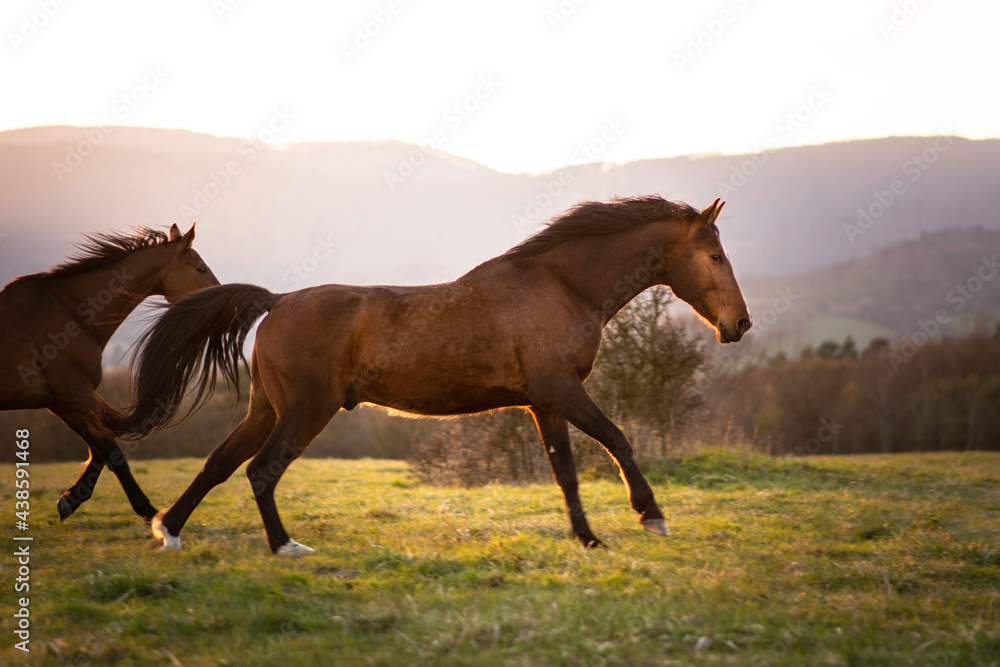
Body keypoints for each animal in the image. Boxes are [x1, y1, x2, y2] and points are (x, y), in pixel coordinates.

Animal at [0, 224, 219, 522]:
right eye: (201, 268)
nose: (222, 301)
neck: (72, 313)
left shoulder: (64, 401)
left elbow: (99, 450)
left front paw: (70, 499)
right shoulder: (75, 397)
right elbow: (113, 453)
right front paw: (150, 512)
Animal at [112, 196, 751, 556]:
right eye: (716, 257)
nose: (740, 324)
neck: (560, 286)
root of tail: (279, 300)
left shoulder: (544, 402)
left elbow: (565, 474)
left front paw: (591, 539)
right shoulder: (563, 392)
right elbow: (619, 439)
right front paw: (652, 516)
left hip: (268, 409)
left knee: (221, 465)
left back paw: (168, 531)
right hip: (307, 411)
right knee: (261, 471)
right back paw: (285, 547)